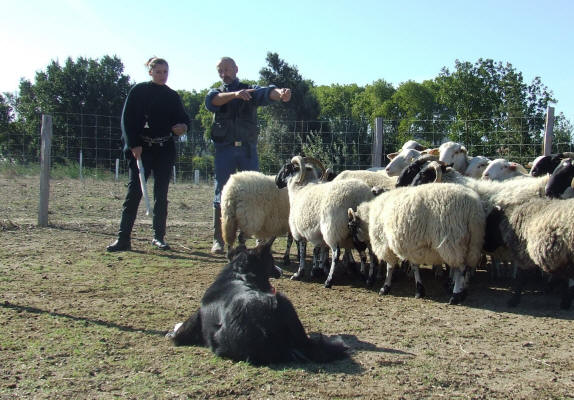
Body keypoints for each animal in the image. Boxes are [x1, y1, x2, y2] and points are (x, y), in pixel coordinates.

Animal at [276, 155, 376, 288]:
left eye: (286, 168)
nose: (276, 181)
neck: (300, 188)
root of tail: (358, 197)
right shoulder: (317, 233)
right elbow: (319, 250)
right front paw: (318, 269)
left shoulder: (300, 231)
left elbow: (303, 253)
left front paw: (299, 273)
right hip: (365, 231)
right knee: (372, 253)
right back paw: (369, 279)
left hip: (332, 229)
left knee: (336, 253)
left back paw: (329, 281)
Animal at [352, 184, 486, 304]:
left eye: (352, 226)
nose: (357, 247)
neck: (369, 218)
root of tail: (473, 208)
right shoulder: (410, 246)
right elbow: (414, 266)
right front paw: (419, 290)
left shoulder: (387, 245)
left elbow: (390, 267)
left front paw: (385, 287)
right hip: (472, 242)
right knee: (466, 267)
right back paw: (463, 292)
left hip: (452, 242)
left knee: (460, 269)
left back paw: (455, 295)